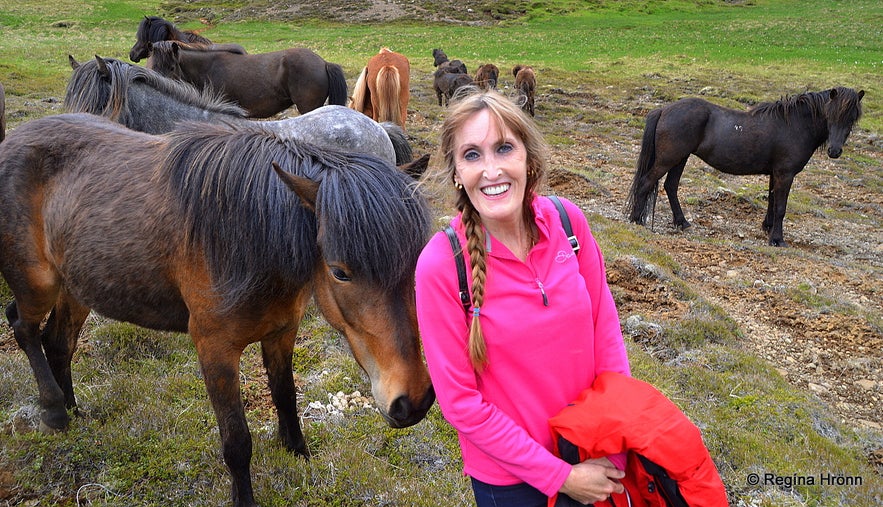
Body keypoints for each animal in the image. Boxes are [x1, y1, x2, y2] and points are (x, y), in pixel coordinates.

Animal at [0, 113, 436, 506]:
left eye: (416, 261)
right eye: (340, 272)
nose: (412, 401)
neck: (246, 236)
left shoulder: (282, 332)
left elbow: (286, 397)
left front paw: (298, 452)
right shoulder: (215, 349)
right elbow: (237, 441)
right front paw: (244, 497)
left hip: (75, 287)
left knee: (58, 343)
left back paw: (73, 411)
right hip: (38, 284)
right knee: (24, 328)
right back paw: (54, 411)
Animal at [624, 88, 868, 247]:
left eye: (852, 118)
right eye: (831, 114)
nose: (834, 151)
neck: (794, 126)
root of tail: (664, 109)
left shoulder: (775, 174)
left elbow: (772, 202)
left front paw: (768, 227)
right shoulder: (785, 174)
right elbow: (781, 207)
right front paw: (777, 240)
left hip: (680, 158)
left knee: (671, 186)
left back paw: (682, 223)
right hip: (669, 158)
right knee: (646, 183)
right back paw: (636, 220)